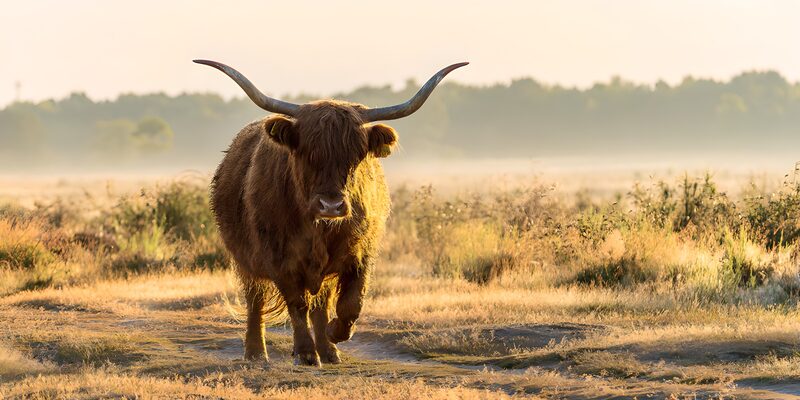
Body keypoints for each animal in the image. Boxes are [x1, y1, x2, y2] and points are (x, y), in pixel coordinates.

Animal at [195, 59, 467, 366]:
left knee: (321, 303)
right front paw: (304, 353)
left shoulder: (360, 254)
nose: (331, 206)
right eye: (307, 153)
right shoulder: (279, 259)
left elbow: (350, 303)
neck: (319, 228)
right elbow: (297, 304)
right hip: (245, 259)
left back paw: (329, 350)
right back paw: (256, 352)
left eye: (357, 155)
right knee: (256, 300)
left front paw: (334, 333)